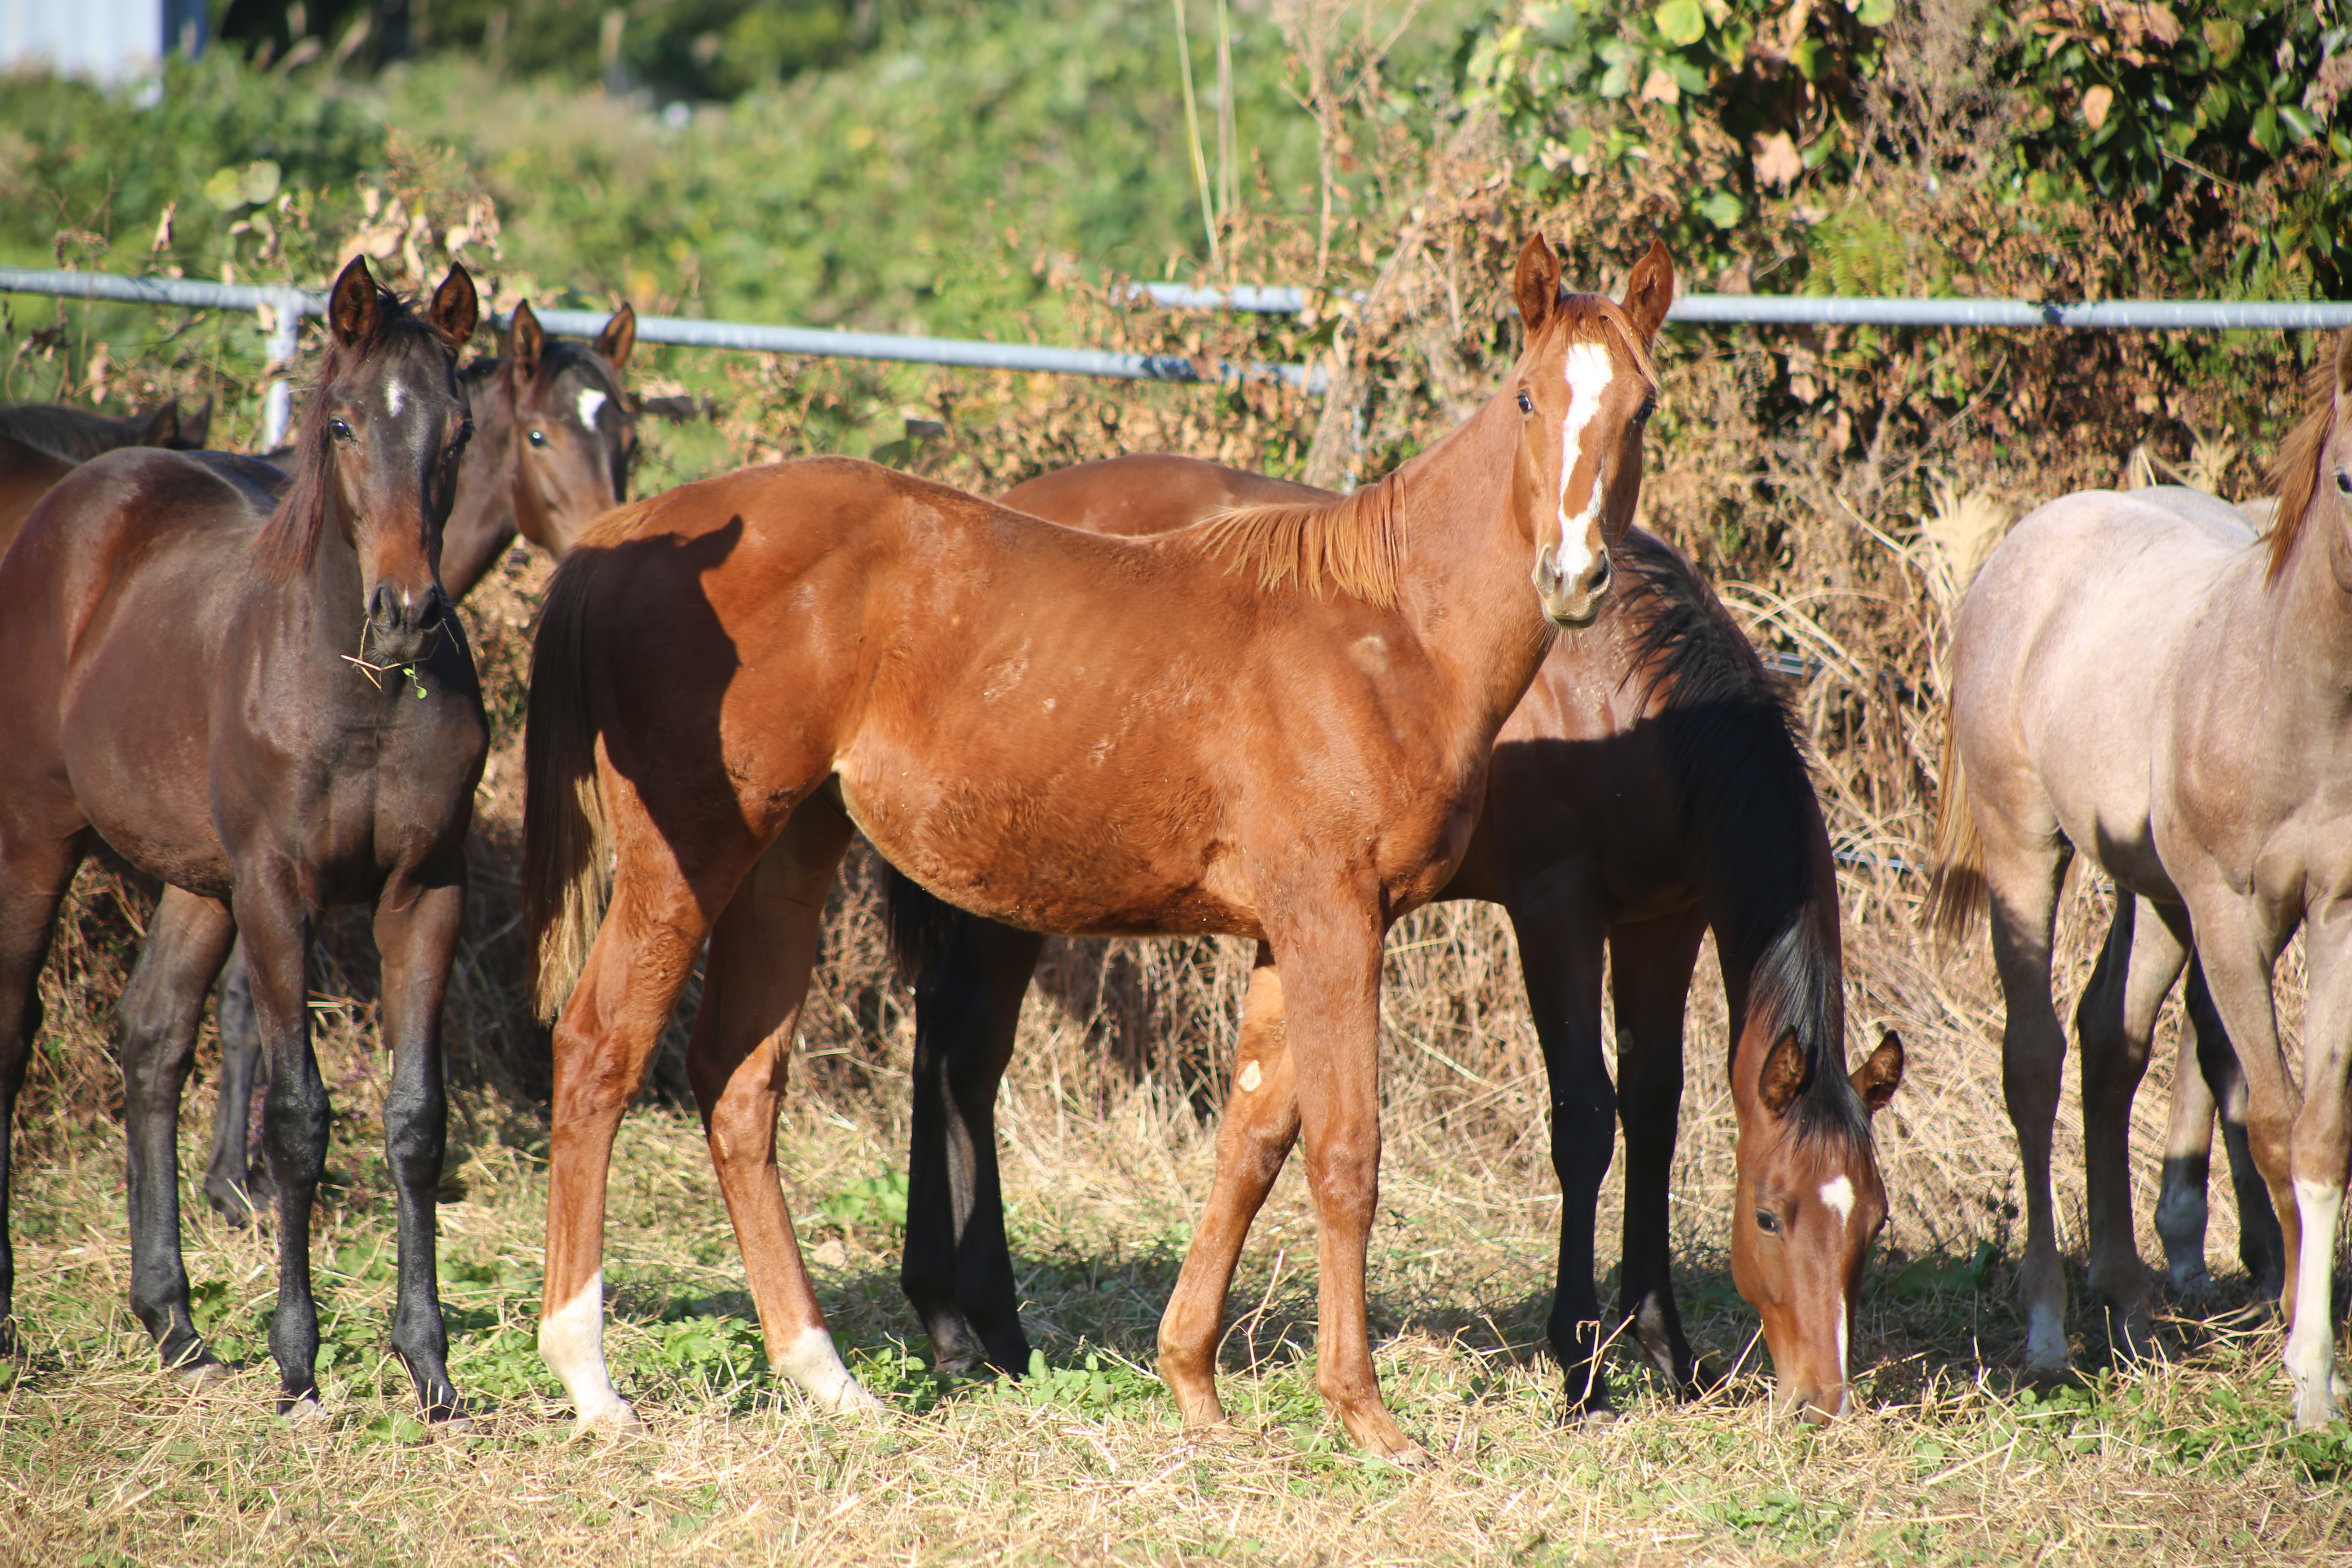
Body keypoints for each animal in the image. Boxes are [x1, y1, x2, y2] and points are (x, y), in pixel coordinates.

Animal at [524, 236, 1675, 1457]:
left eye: (1640, 405)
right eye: (1527, 397)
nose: (1573, 576)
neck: (1389, 626)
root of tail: (617, 539)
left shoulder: (1286, 933)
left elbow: (1250, 1144)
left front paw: (1193, 1382)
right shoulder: (1334, 920)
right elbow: (1344, 1156)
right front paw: (1364, 1414)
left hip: (789, 856)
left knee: (740, 1083)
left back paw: (825, 1375)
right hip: (688, 853)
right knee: (597, 1050)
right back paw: (592, 1380)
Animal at [889, 451, 1900, 1420]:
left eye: (1873, 1223)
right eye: (1770, 1216)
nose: (1822, 1400)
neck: (1628, 695)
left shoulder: (1665, 917)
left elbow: (1655, 1112)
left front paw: (1668, 1352)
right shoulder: (1556, 906)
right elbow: (1585, 1119)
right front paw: (1581, 1372)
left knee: (944, 1040)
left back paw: (951, 1319)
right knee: (969, 1057)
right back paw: (985, 1329)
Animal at [1929, 334, 2352, 1439]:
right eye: (2344, 475)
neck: (2289, 693)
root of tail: (2018, 549)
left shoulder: (2338, 914)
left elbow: (2318, 1130)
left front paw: (2316, 1358)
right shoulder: (2229, 915)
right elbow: (2268, 1116)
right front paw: (2300, 1364)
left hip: (2151, 895)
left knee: (2108, 1038)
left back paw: (2127, 1308)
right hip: (2030, 853)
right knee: (2034, 1061)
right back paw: (2047, 1329)